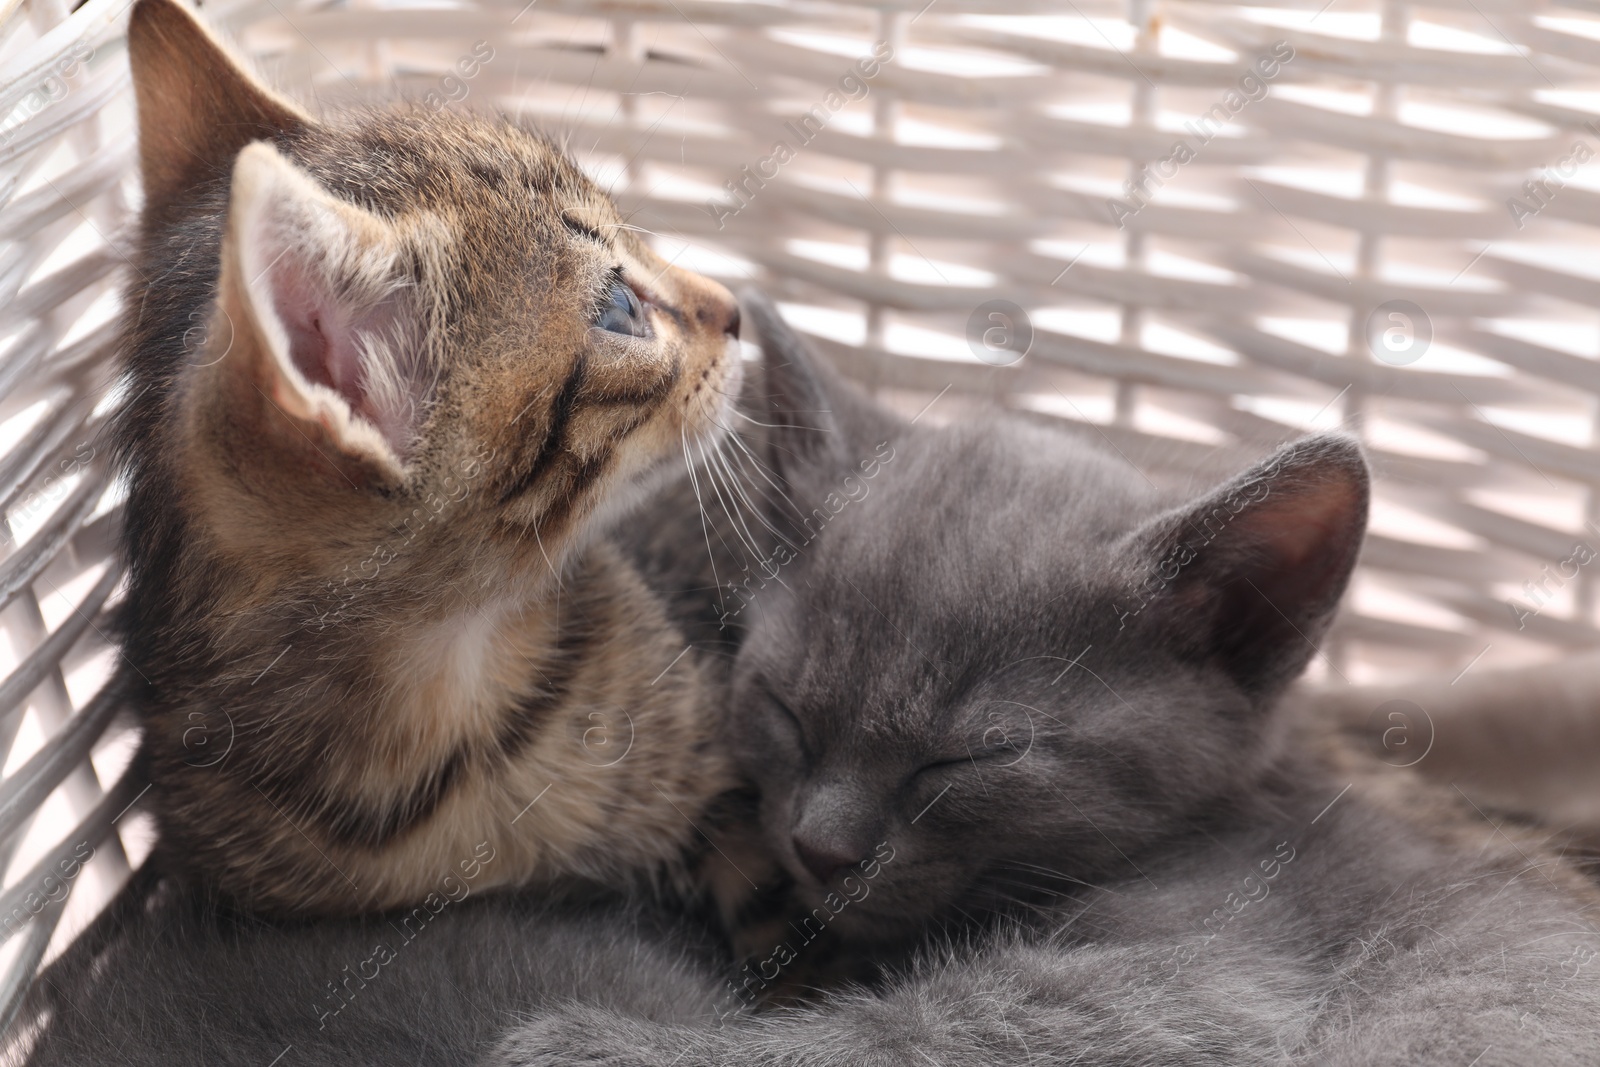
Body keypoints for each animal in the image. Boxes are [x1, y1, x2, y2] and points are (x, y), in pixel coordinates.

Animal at [486, 295, 1600, 1062]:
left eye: (967, 759)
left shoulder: (1211, 970)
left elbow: (913, 1029)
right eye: (784, 711)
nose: (819, 847)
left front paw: (591, 1043)